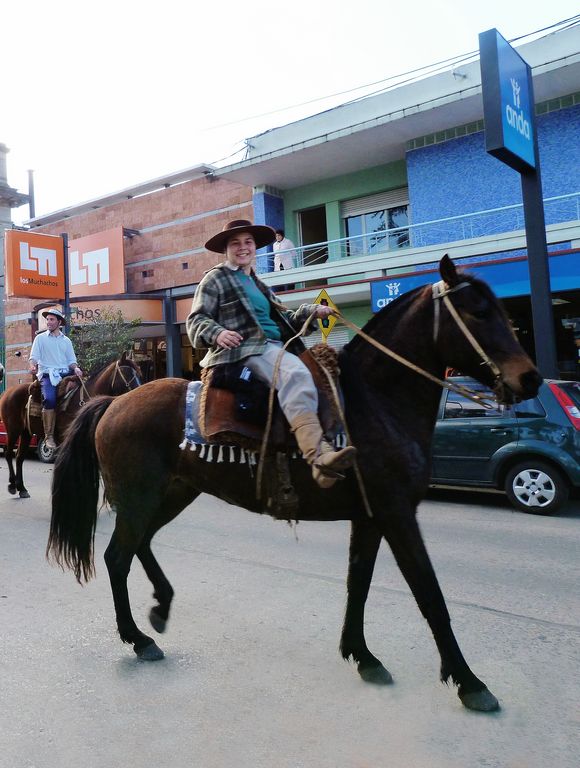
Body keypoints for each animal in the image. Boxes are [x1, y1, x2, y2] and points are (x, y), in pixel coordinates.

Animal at [0, 348, 142, 498]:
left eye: (139, 373)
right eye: (127, 373)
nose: (139, 392)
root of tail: (7, 392)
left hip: (26, 432)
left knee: (19, 457)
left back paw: (22, 488)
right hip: (13, 430)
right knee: (9, 454)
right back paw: (12, 485)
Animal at [47, 260, 540, 712]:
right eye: (478, 312)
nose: (530, 378)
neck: (375, 401)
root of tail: (111, 403)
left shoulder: (370, 516)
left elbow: (358, 581)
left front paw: (362, 655)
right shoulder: (397, 512)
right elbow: (429, 594)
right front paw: (468, 682)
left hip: (174, 492)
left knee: (140, 545)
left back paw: (161, 607)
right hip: (140, 496)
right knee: (117, 556)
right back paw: (138, 638)